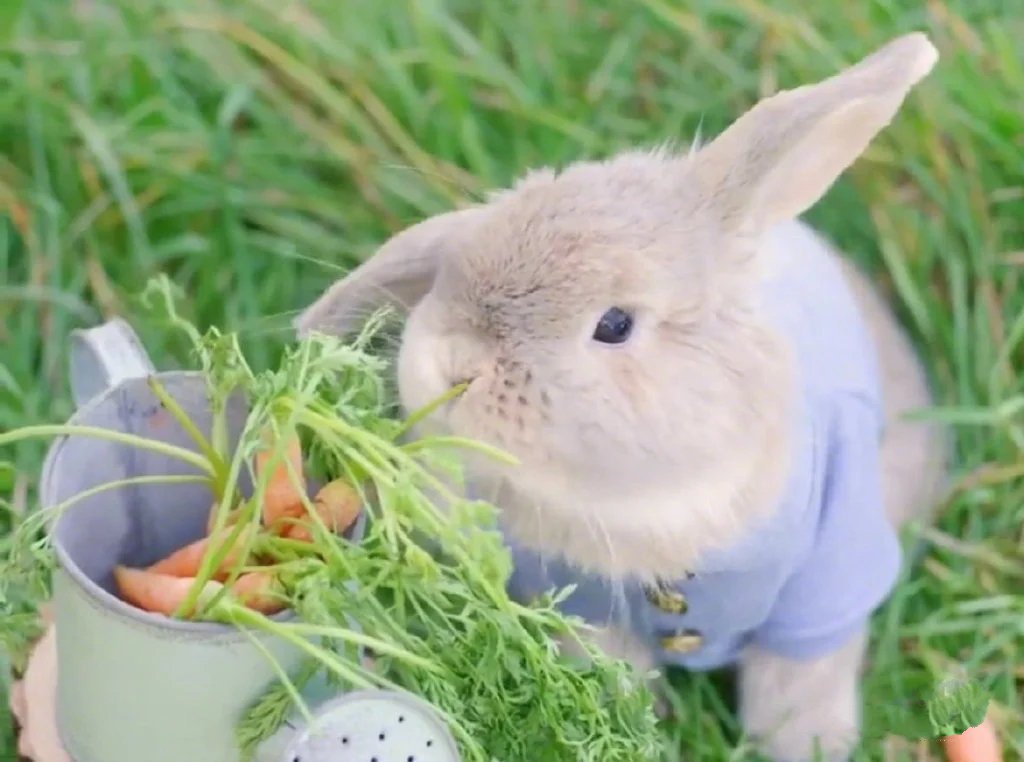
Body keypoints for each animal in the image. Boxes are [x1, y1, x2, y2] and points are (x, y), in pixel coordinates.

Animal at [299, 34, 946, 762]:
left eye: (614, 325)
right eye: (450, 267)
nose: (449, 365)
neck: (648, 504)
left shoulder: (823, 591)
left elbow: (798, 681)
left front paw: (808, 746)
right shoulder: (587, 610)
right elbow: (615, 675)